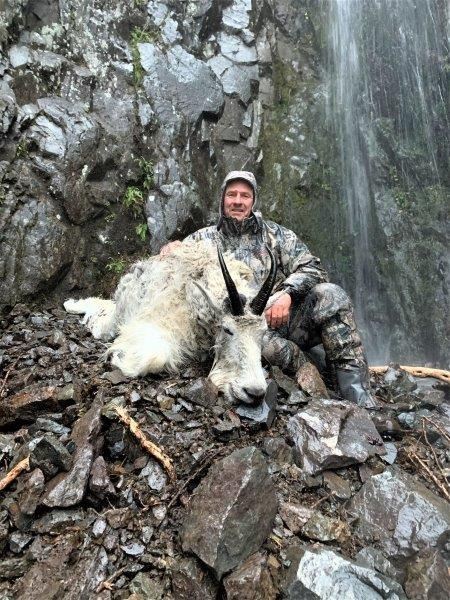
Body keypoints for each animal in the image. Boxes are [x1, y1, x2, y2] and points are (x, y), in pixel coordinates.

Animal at [64, 240, 277, 404]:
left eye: (263, 333)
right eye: (227, 329)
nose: (254, 392)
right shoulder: (154, 322)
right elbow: (155, 355)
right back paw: (71, 304)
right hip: (118, 316)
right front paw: (118, 357)